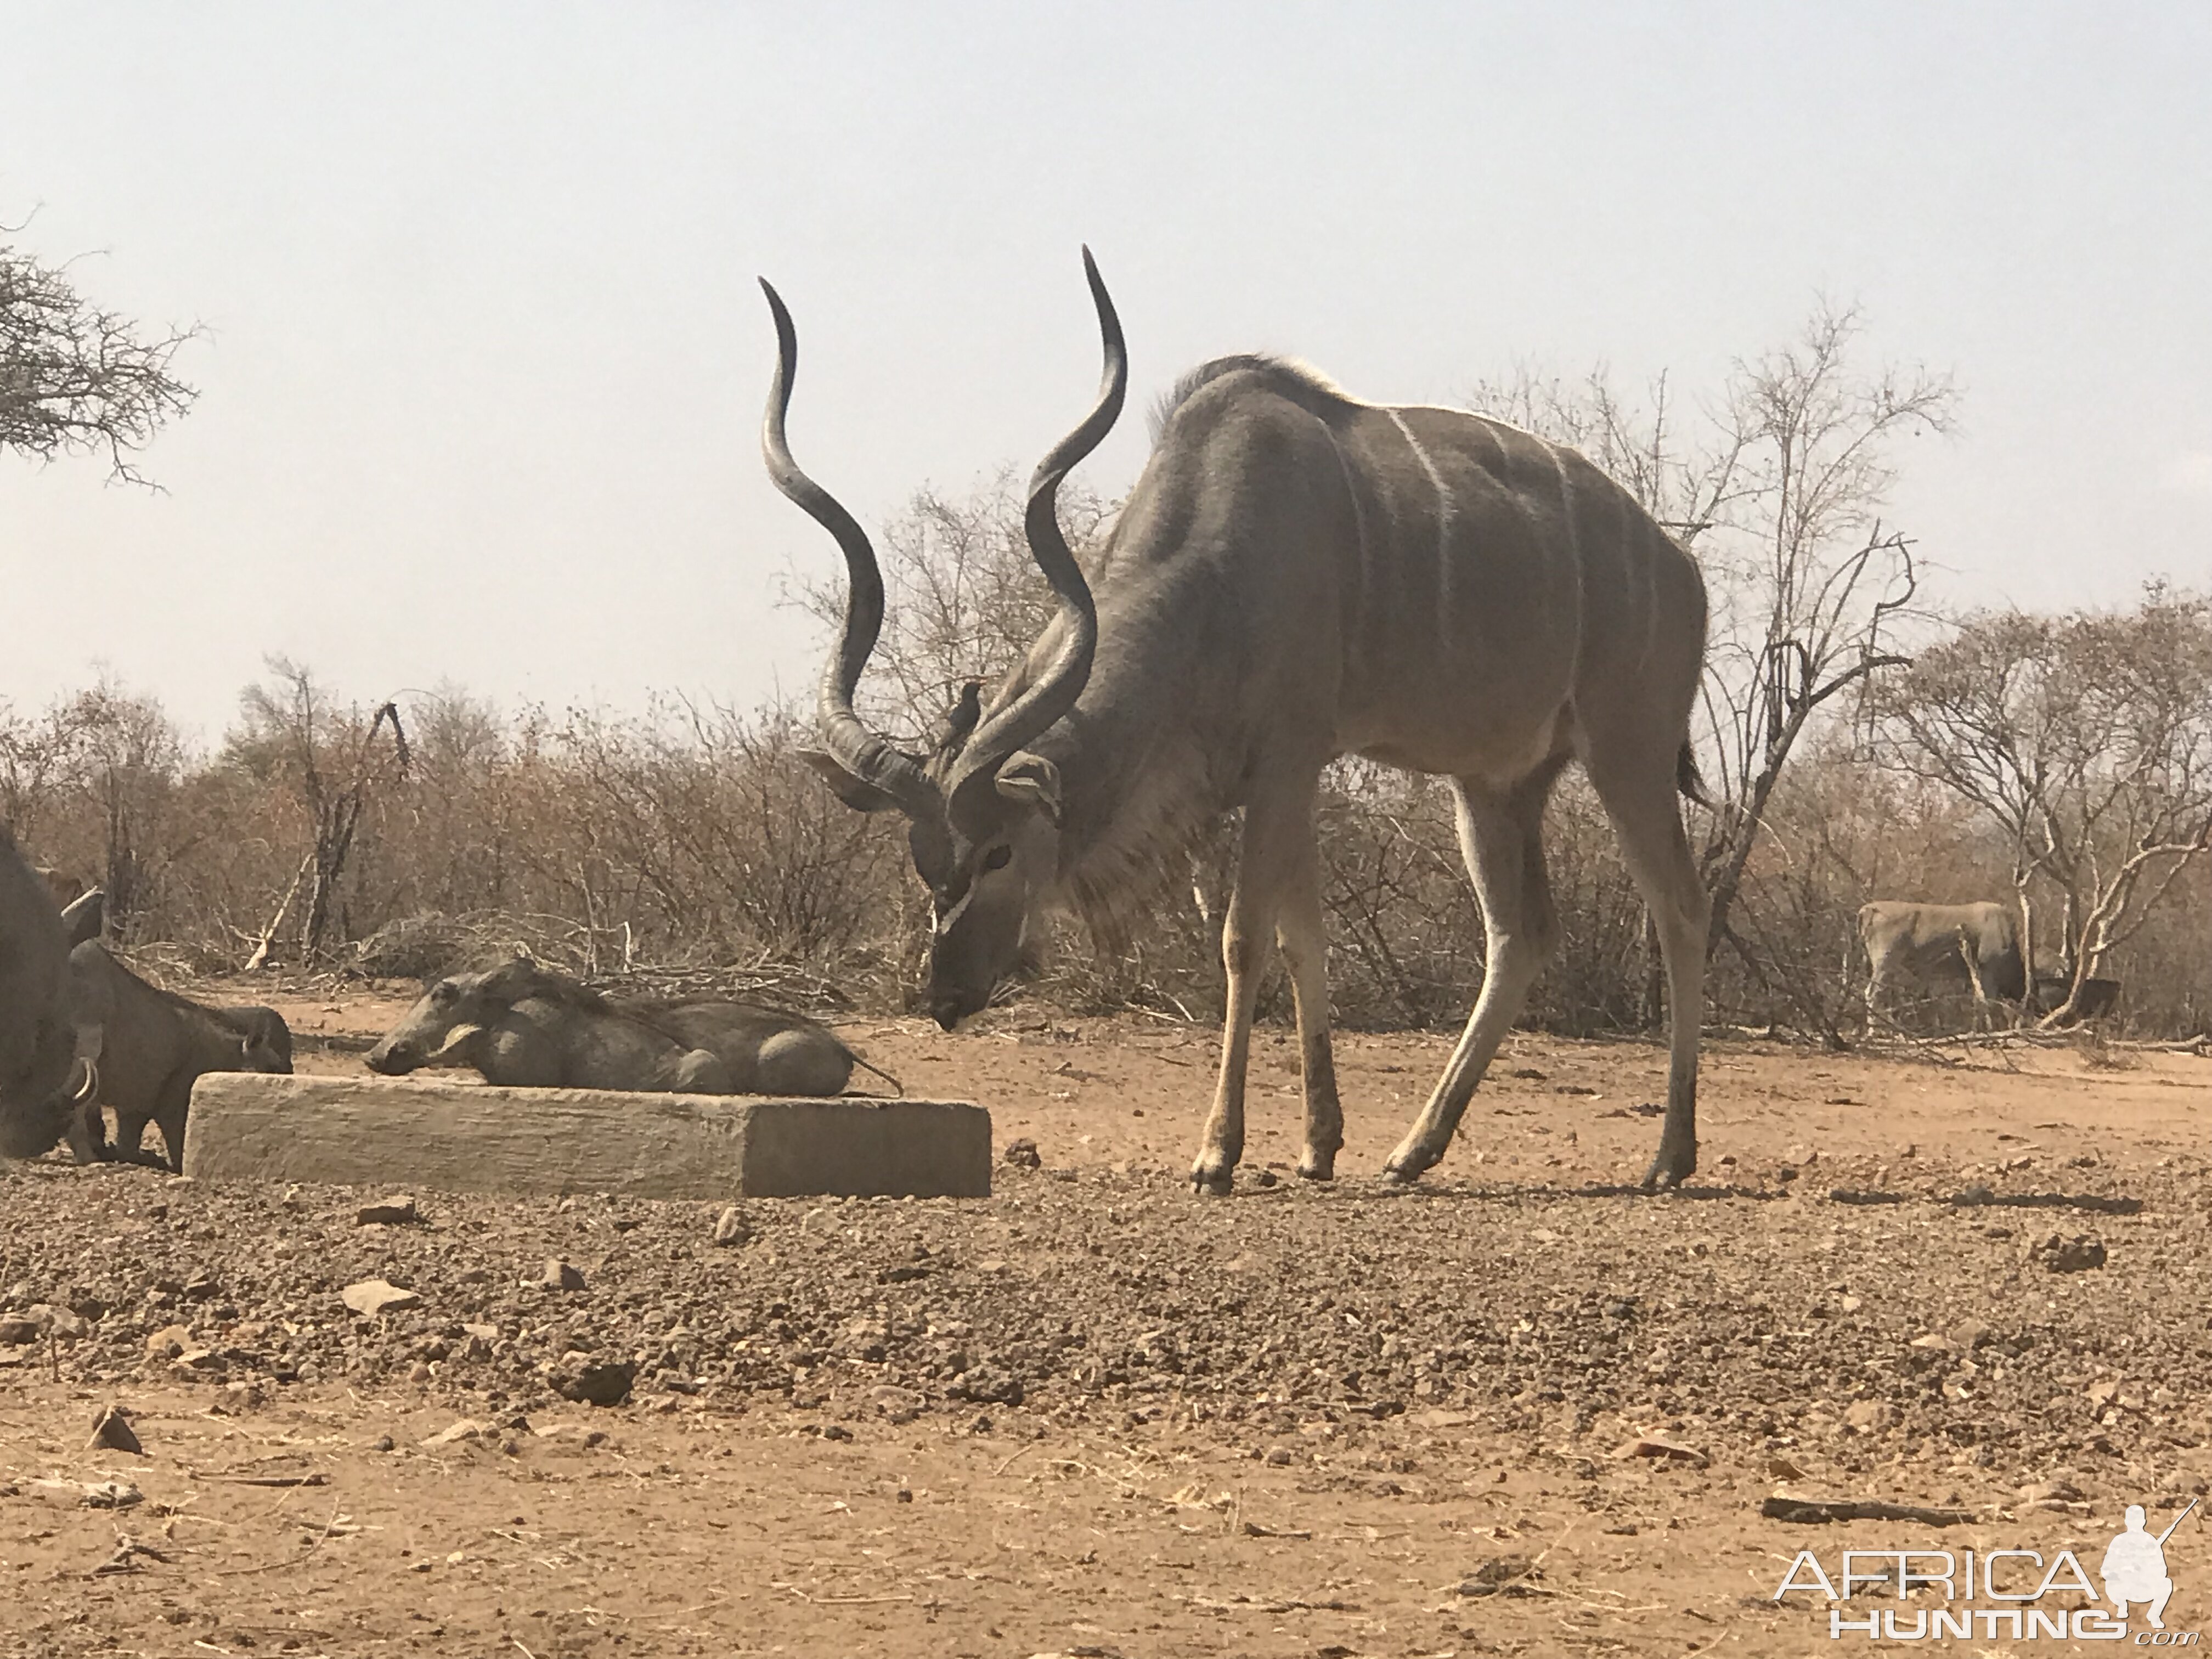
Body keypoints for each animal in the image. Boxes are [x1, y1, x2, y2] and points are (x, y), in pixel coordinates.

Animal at [761, 256, 1707, 1194]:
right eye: (923, 863)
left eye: (998, 852)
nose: (947, 998)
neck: (1220, 554)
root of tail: (1680, 564)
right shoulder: (1286, 779)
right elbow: (1304, 938)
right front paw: (1319, 1146)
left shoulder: (1286, 763)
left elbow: (1246, 940)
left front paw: (1219, 1153)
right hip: (1494, 784)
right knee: (1520, 935)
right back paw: (1415, 1149)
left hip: (1630, 749)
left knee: (1678, 908)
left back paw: (1669, 1155)